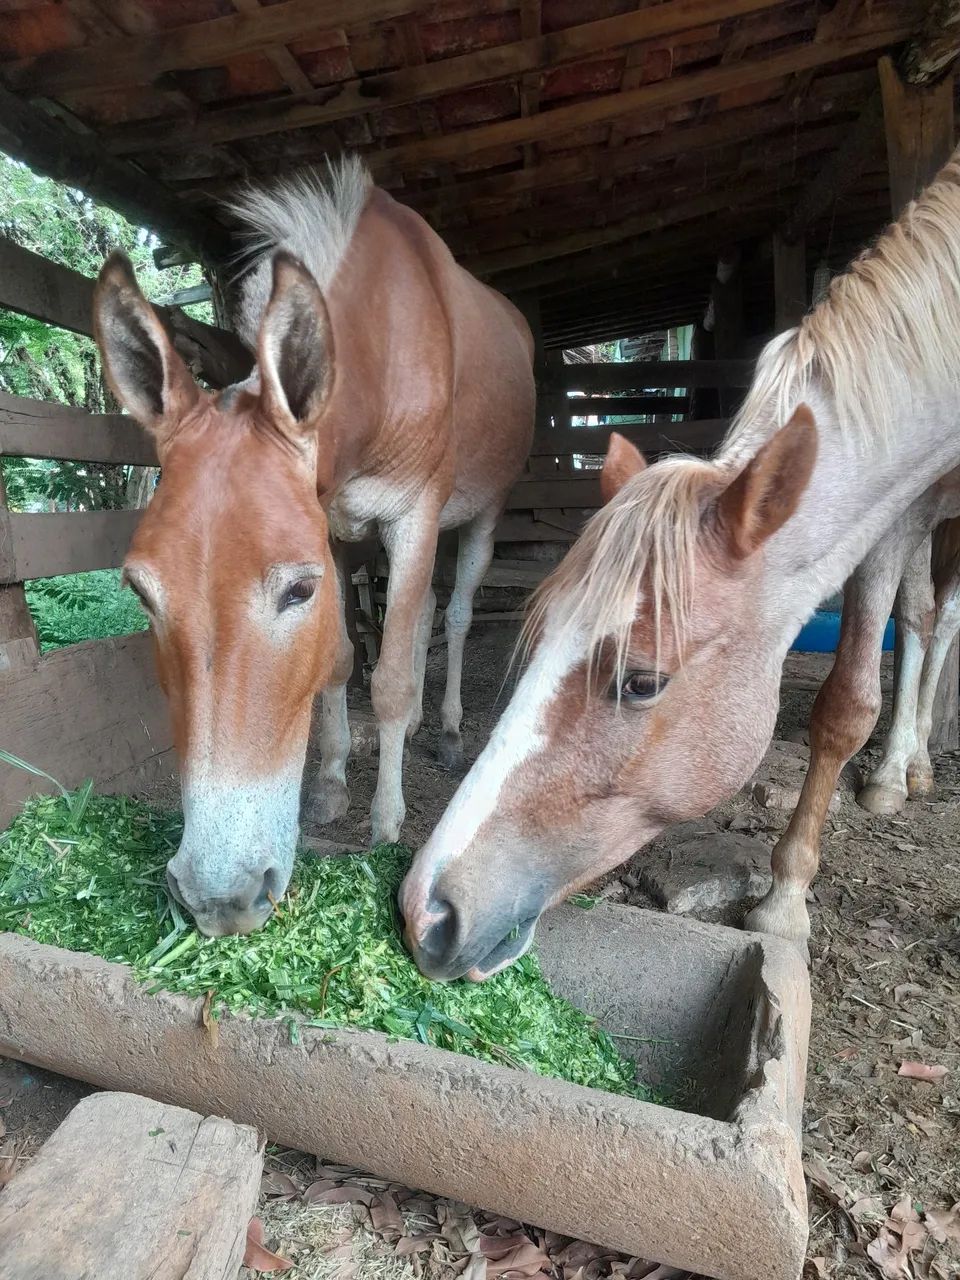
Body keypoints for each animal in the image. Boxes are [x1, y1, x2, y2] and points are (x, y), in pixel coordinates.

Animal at [93, 156, 535, 938]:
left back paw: (449, 729)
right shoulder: (331, 525)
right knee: (419, 617)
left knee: (452, 616)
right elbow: (342, 658)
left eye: (298, 591)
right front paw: (329, 783)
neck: (382, 346)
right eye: (140, 592)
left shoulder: (414, 517)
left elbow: (387, 682)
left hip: (481, 515)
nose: (218, 897)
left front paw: (385, 820)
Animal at [401, 145, 960, 981]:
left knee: (932, 621)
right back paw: (910, 770)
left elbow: (847, 706)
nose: (425, 912)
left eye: (641, 682)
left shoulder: (901, 512)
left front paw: (784, 903)